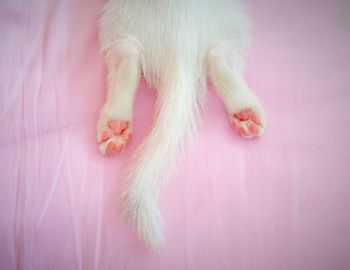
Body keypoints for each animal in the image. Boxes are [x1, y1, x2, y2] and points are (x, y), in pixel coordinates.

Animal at [97, 0, 264, 251]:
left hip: (119, 20)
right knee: (218, 53)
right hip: (235, 22)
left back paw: (116, 124)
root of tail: (181, 43)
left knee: (127, 51)